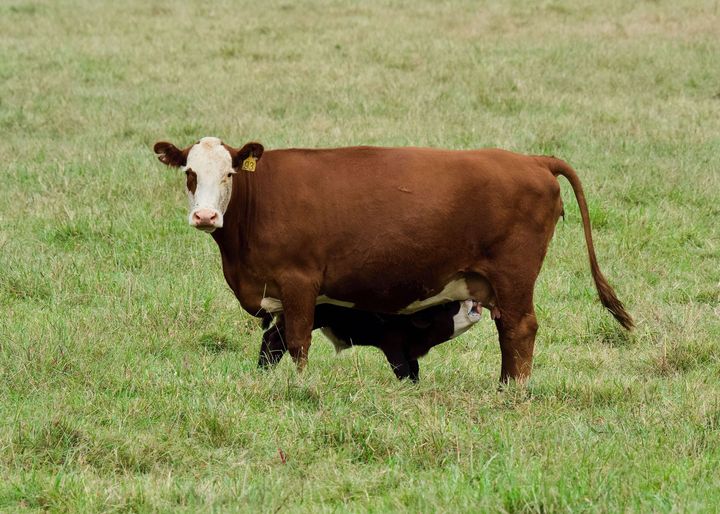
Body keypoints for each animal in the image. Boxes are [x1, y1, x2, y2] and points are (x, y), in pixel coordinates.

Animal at [260, 300, 482, 381]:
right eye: (447, 306)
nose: (474, 302)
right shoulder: (393, 345)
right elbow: (403, 371)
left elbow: (415, 371)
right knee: (275, 340)